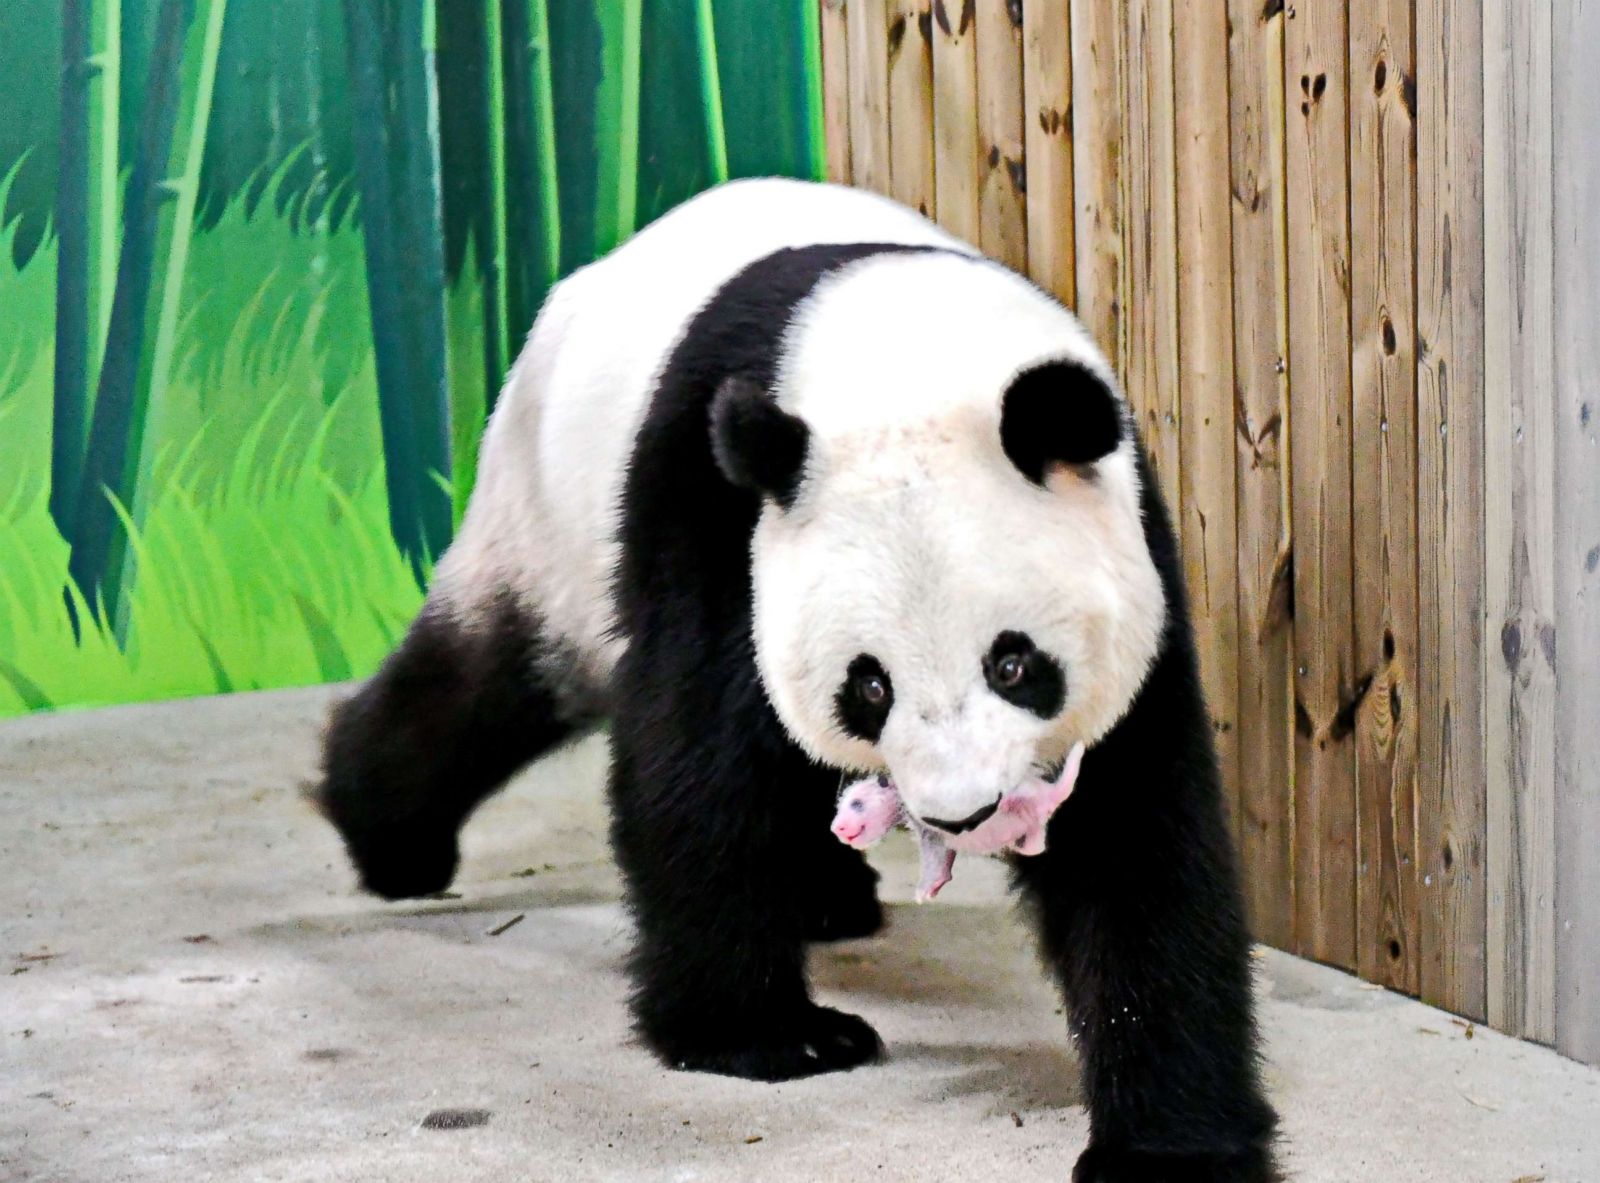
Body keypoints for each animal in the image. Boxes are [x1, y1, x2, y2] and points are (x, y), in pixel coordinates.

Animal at [318, 178, 1280, 1183]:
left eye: (1014, 662)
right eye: (870, 686)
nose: (963, 813)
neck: (902, 352)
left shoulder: (1131, 554)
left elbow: (1137, 836)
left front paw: (1171, 1148)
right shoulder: (714, 510)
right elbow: (698, 762)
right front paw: (769, 1036)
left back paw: (826, 898)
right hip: (551, 515)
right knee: (492, 681)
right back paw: (389, 835)